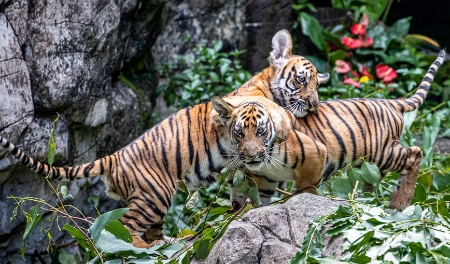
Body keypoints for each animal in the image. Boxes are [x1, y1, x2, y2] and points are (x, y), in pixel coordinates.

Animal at [0, 96, 326, 249]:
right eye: (239, 134)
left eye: (258, 132)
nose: (251, 154)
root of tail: (115, 157)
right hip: (154, 196)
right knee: (124, 229)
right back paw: (143, 247)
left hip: (151, 203)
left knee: (146, 228)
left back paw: (163, 243)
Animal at [229, 28, 446, 210]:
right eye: (301, 79)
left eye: (317, 85)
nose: (314, 104)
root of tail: (391, 103)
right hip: (372, 161)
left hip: (383, 152)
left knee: (415, 153)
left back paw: (399, 204)